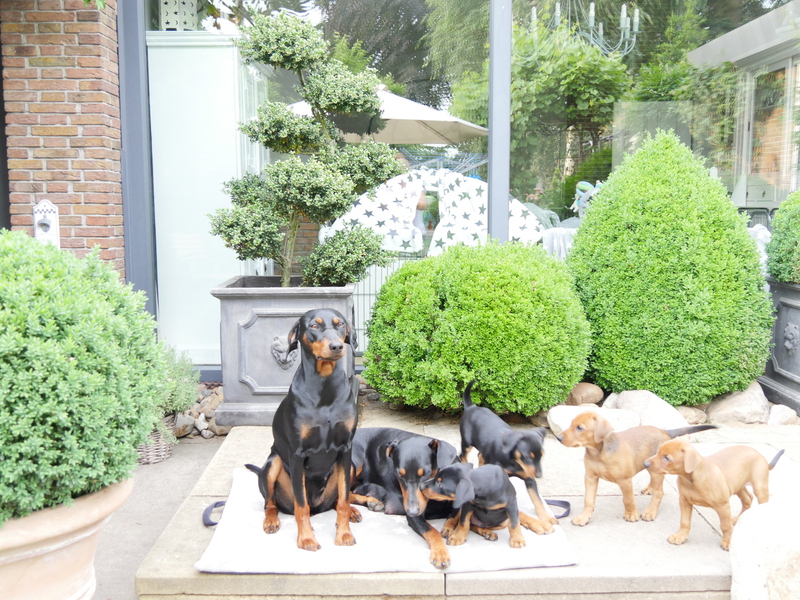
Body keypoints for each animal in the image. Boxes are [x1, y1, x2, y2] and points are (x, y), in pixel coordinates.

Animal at [246, 308, 360, 551]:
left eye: (341, 324)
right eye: (314, 326)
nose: (336, 346)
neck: (325, 387)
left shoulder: (346, 449)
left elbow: (344, 500)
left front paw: (344, 534)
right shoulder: (297, 454)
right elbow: (301, 505)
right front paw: (306, 538)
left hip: (352, 466)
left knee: (338, 500)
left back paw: (353, 511)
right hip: (272, 463)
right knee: (270, 503)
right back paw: (271, 520)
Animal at [349, 427, 459, 569]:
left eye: (426, 473)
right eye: (399, 475)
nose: (411, 511)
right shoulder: (415, 516)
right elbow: (431, 530)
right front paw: (440, 553)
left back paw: (371, 501)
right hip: (354, 463)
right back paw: (352, 511)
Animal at [458, 380, 554, 534]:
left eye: (542, 455)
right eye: (527, 456)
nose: (539, 475)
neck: (513, 461)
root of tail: (472, 407)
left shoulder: (529, 477)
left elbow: (537, 499)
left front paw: (546, 518)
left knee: (480, 455)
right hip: (467, 443)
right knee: (462, 455)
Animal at [556, 411, 716, 526]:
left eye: (579, 428)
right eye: (571, 424)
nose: (558, 438)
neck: (598, 453)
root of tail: (665, 432)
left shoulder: (624, 480)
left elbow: (628, 499)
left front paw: (631, 514)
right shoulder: (590, 477)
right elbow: (588, 500)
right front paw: (584, 517)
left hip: (656, 469)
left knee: (659, 492)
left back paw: (650, 511)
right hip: (649, 464)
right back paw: (649, 489)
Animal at [645, 438, 784, 550]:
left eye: (666, 458)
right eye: (658, 451)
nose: (645, 464)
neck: (691, 480)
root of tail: (760, 455)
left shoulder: (722, 506)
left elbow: (726, 526)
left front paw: (728, 542)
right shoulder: (684, 501)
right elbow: (684, 521)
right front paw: (680, 536)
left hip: (760, 487)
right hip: (738, 485)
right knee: (747, 499)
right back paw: (737, 519)